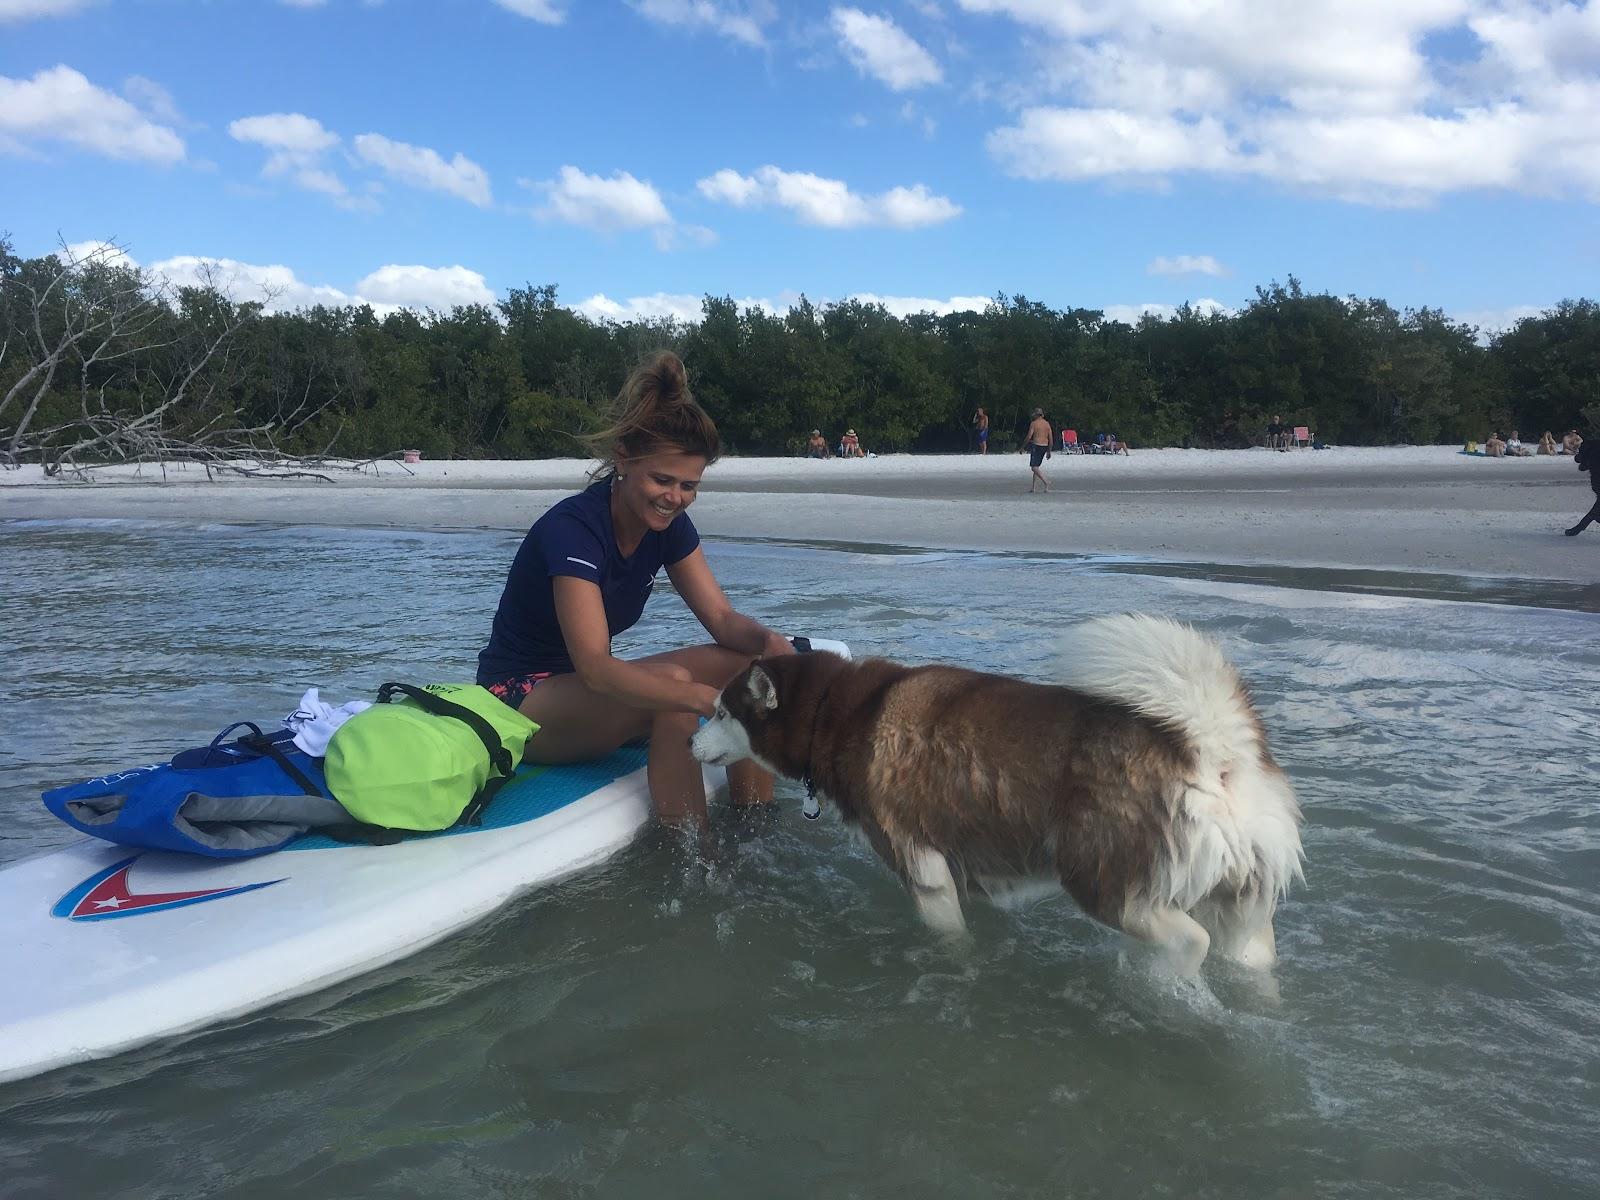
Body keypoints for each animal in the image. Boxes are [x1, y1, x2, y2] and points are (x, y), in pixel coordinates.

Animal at [688, 620, 1299, 979]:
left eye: (718, 711)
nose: (691, 744)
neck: (834, 713)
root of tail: (1213, 751)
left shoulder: (922, 867)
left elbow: (950, 940)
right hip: (1241, 908)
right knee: (1248, 957)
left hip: (1104, 884)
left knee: (1190, 941)